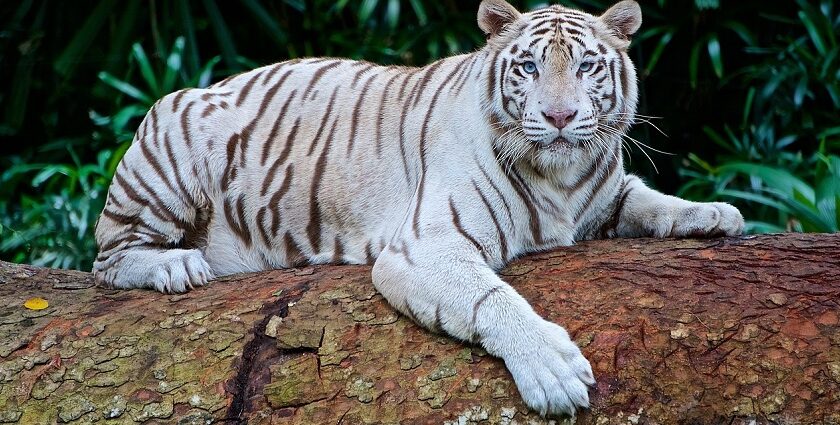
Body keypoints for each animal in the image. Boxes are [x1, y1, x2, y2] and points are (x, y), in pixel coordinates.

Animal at [95, 0, 744, 416]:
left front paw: (715, 213)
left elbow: (649, 199)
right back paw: (176, 266)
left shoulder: (605, 195)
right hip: (171, 143)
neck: (561, 178)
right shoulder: (426, 246)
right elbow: (492, 298)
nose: (559, 117)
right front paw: (553, 371)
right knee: (108, 258)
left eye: (586, 65)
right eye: (529, 66)